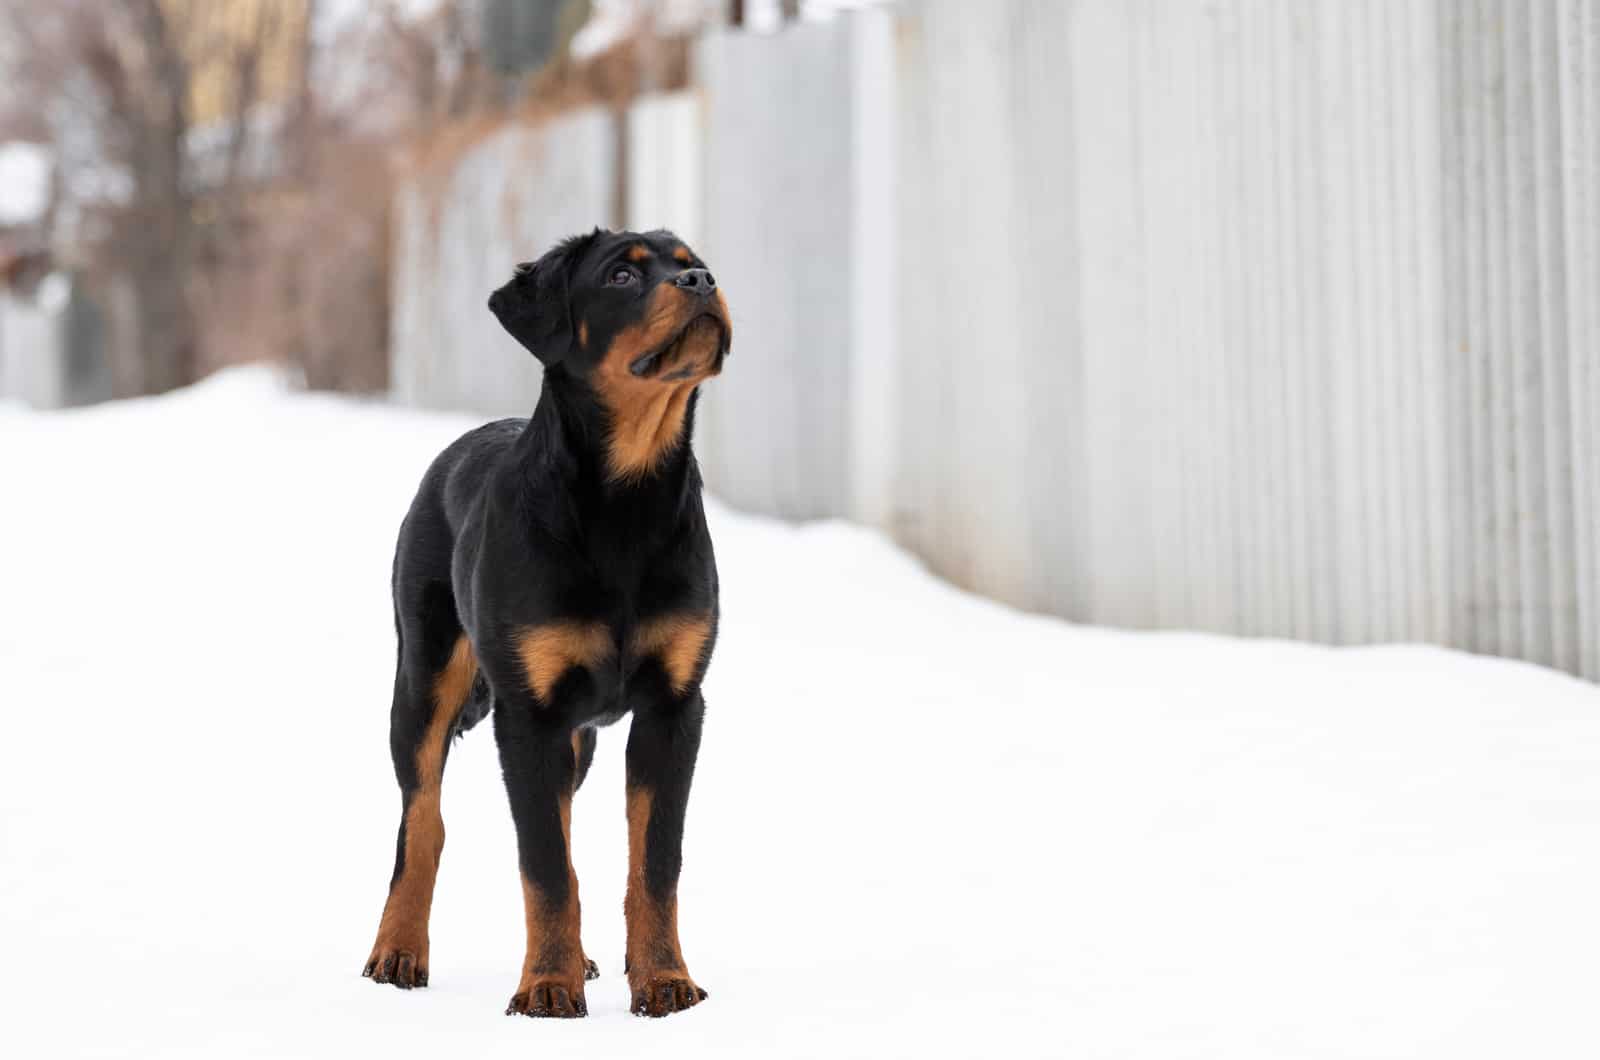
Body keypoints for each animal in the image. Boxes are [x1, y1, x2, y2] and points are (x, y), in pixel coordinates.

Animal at [360, 228, 729, 1018]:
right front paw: (548, 988)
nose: (702, 282)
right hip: (424, 679)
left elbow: (654, 862)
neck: (626, 502)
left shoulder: (675, 707)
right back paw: (399, 949)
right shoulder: (527, 716)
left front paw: (663, 980)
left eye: (693, 261)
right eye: (621, 275)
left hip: (574, 739)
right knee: (423, 822)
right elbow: (544, 868)